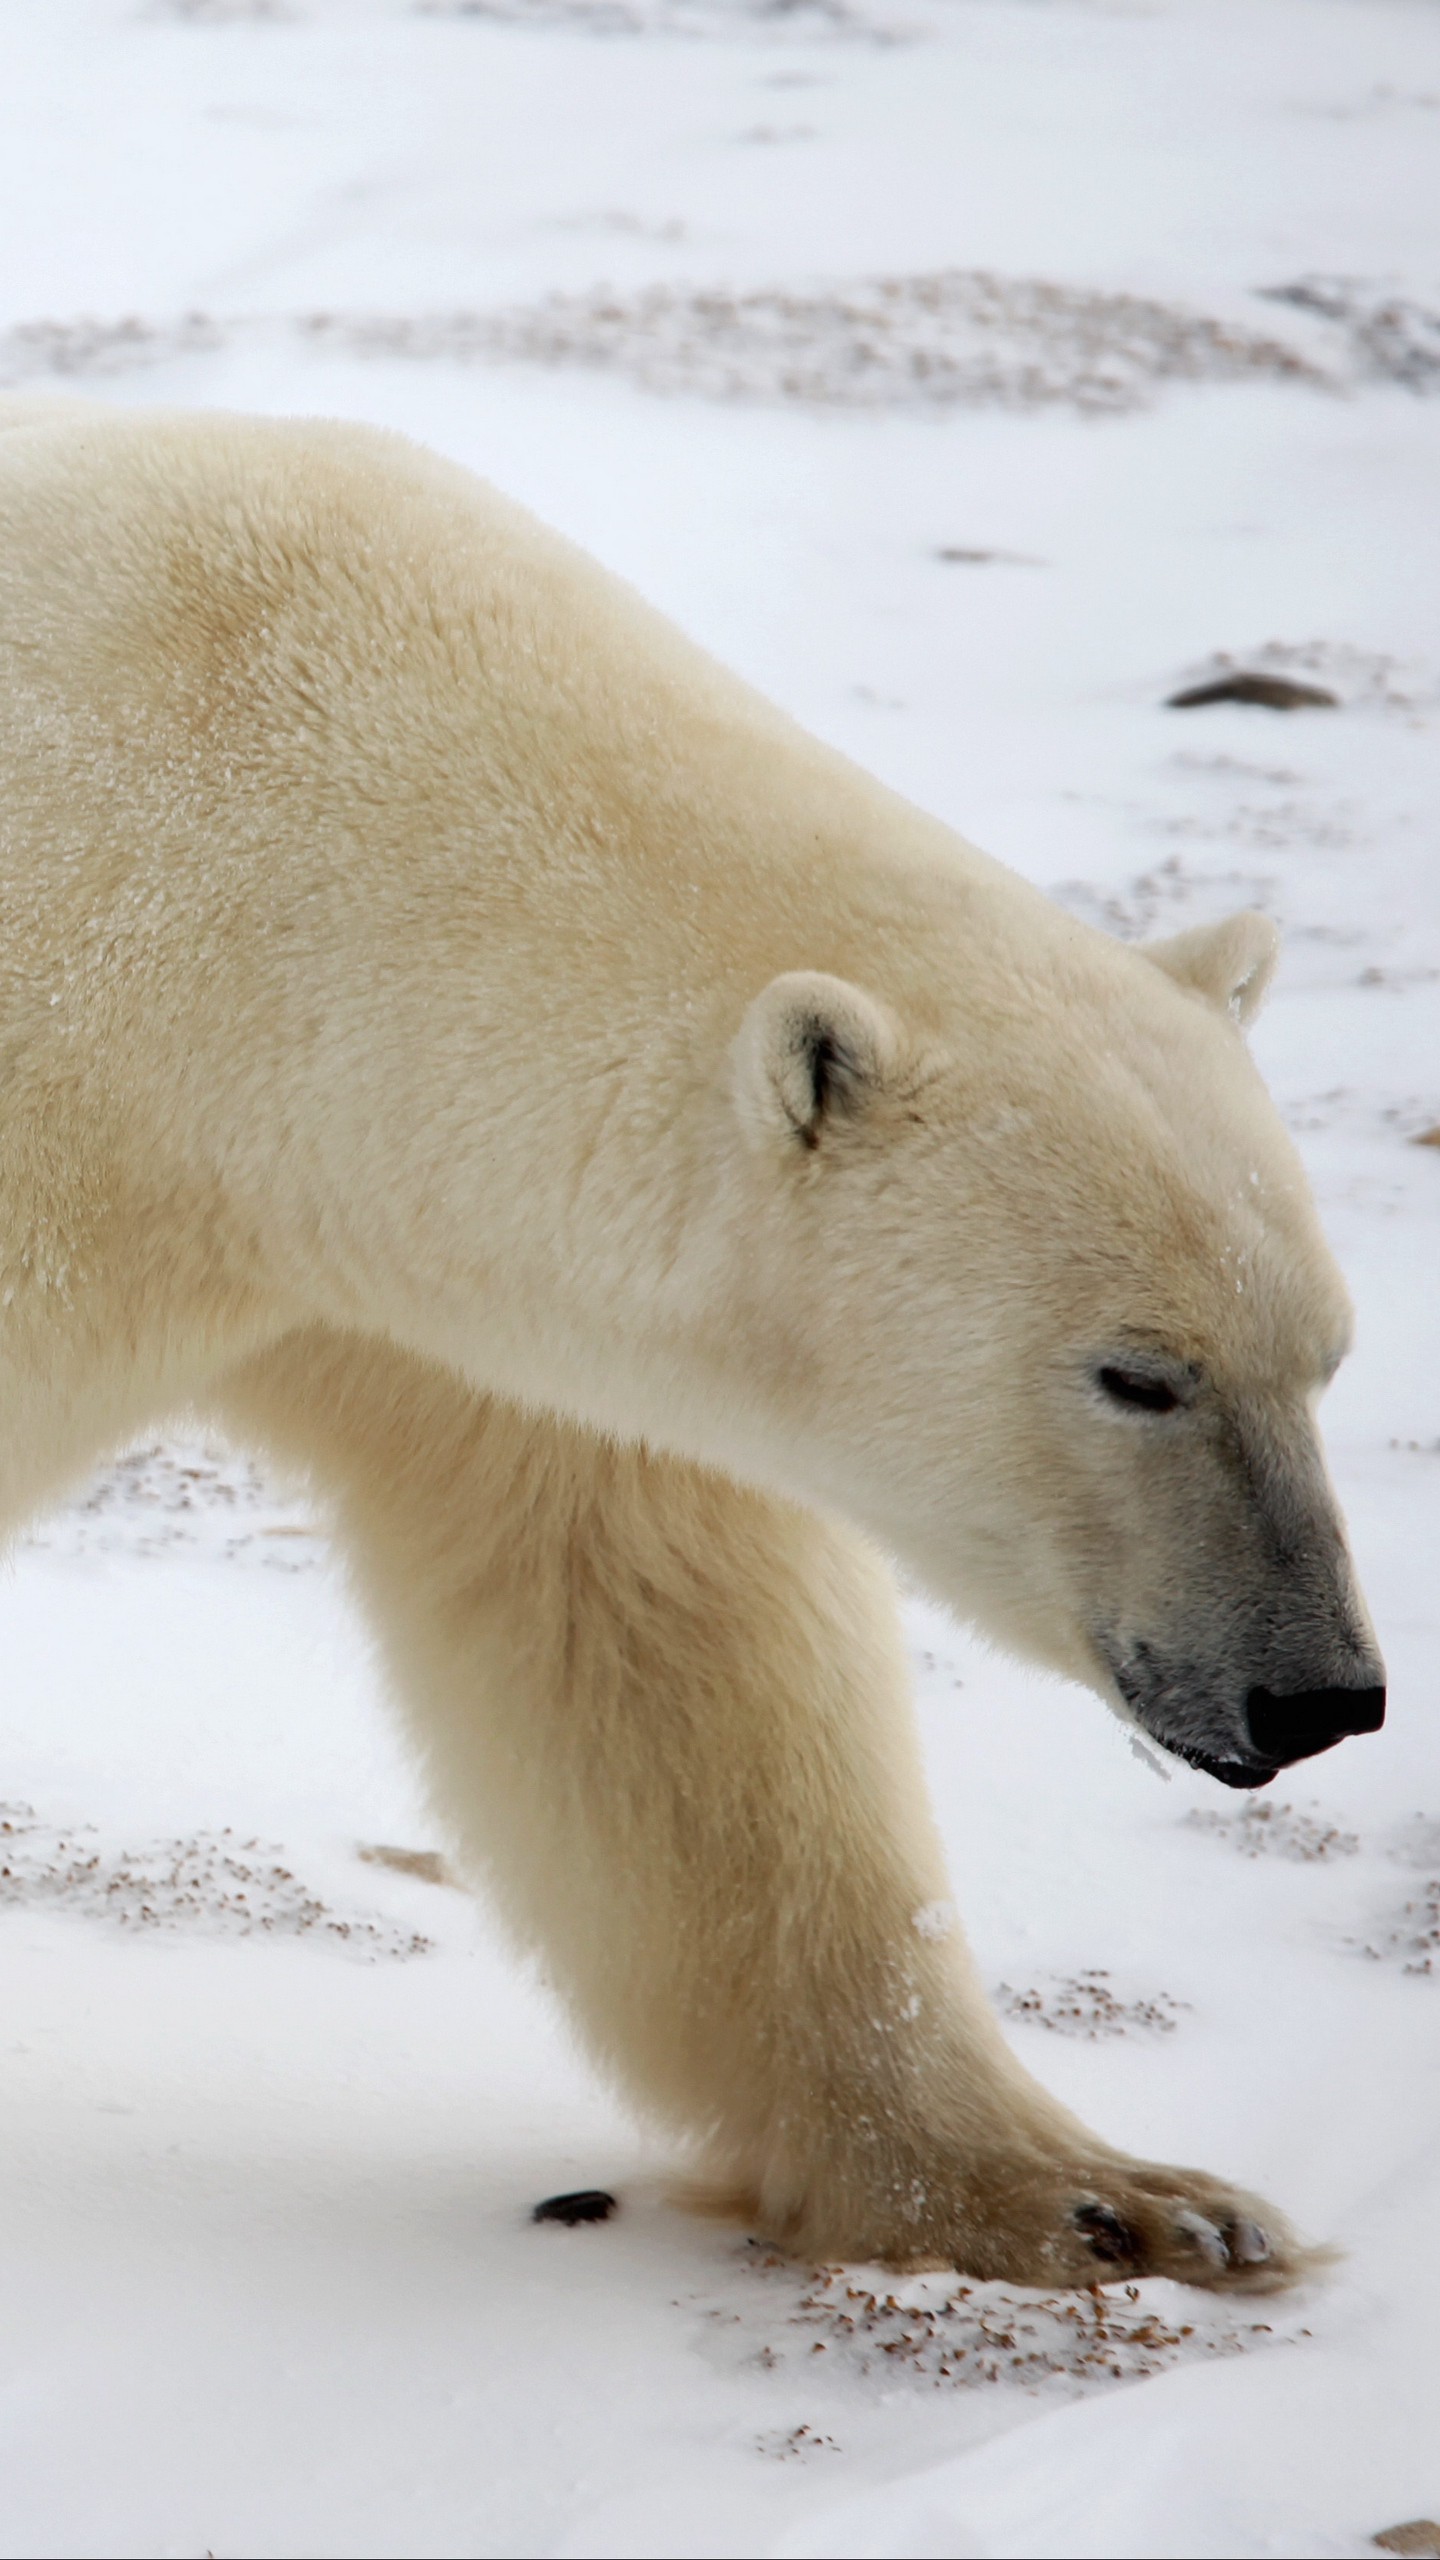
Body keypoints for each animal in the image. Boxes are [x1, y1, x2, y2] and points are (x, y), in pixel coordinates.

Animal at [0, 404, 1383, 2304]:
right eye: (1138, 1372)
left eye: (1327, 1354)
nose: (1318, 1694)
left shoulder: (466, 1304)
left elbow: (664, 1662)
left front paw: (1110, 2198)